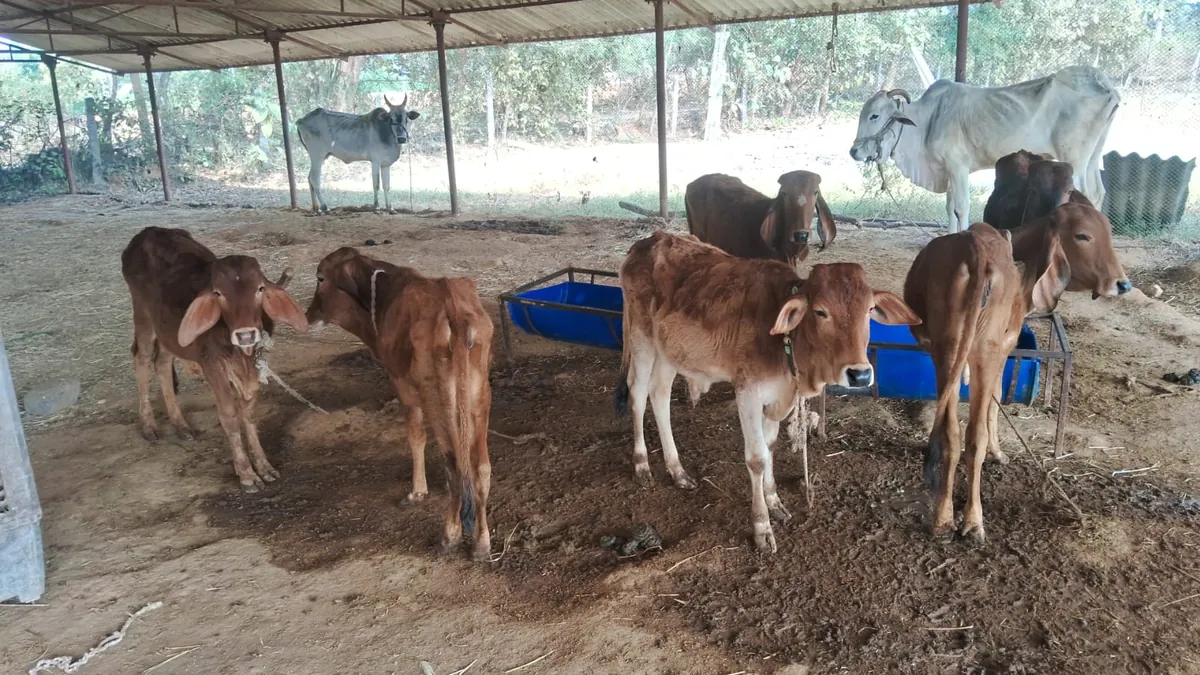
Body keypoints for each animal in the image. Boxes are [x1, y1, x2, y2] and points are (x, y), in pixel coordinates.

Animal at [121, 226, 309, 491]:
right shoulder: (212, 366)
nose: (245, 334)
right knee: (142, 359)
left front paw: (263, 466)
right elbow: (229, 415)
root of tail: (149, 231)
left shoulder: (254, 368)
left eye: (260, 289)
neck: (241, 355)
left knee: (162, 364)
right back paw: (148, 426)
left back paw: (180, 425)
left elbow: (249, 414)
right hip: (143, 317)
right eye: (218, 293)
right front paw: (247, 474)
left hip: (169, 332)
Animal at [305, 247, 494, 560]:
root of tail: (452, 303)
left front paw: (417, 492)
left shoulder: (402, 385)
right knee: (480, 467)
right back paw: (481, 543)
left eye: (320, 277)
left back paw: (450, 536)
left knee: (455, 466)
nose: (308, 314)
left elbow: (416, 437)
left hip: (438, 400)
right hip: (480, 397)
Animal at [615, 232, 920, 552]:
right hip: (642, 339)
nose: (859, 374)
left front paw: (774, 500)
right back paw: (642, 465)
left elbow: (770, 445)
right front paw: (762, 526)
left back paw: (677, 471)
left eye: (870, 310)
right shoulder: (747, 394)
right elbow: (757, 457)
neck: (787, 344)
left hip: (669, 352)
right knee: (638, 394)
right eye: (820, 312)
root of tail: (648, 241)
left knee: (660, 395)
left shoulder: (777, 397)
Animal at [848, 66, 1120, 233]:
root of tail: (1106, 84)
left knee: (1084, 195)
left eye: (874, 115)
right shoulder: (948, 170)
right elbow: (950, 208)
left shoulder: (958, 165)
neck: (927, 121)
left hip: (1075, 158)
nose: (854, 152)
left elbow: (961, 207)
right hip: (1093, 157)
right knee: (1098, 193)